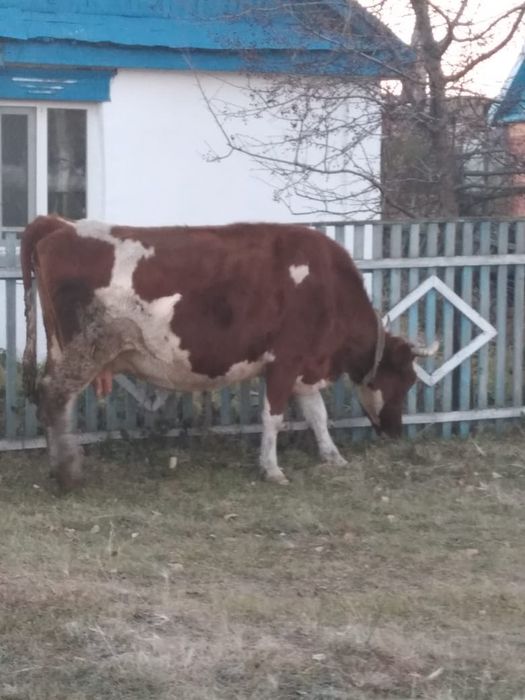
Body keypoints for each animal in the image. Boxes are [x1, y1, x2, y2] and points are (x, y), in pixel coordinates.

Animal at [21, 215, 437, 491]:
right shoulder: (284, 362)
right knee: (55, 396)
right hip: (85, 347)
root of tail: (60, 225)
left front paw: (333, 457)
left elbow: (318, 416)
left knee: (51, 398)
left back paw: (59, 465)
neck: (326, 288)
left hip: (61, 347)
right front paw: (271, 468)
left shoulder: (304, 367)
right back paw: (67, 473)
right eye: (405, 381)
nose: (396, 432)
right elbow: (273, 418)